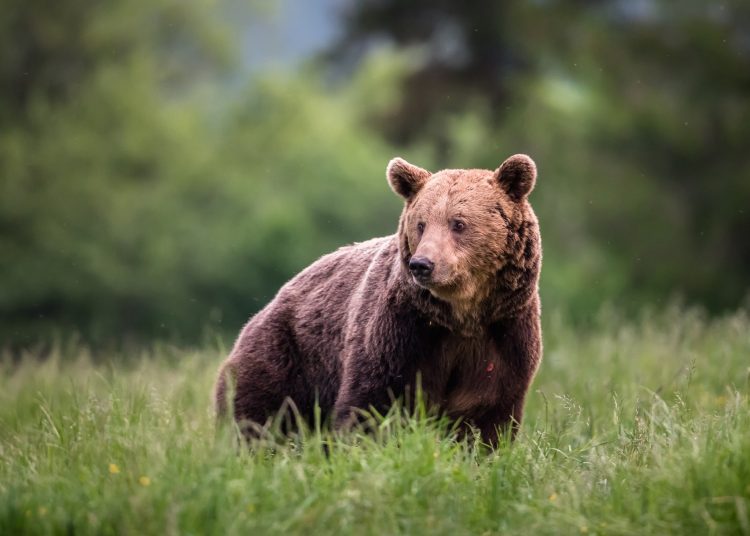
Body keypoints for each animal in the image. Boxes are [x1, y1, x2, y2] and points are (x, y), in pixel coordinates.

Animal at [214, 154, 544, 444]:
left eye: (458, 223)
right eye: (421, 223)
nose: (422, 264)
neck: (461, 316)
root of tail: (266, 307)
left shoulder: (503, 338)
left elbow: (485, 418)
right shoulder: (400, 334)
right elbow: (371, 404)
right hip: (286, 357)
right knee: (260, 417)